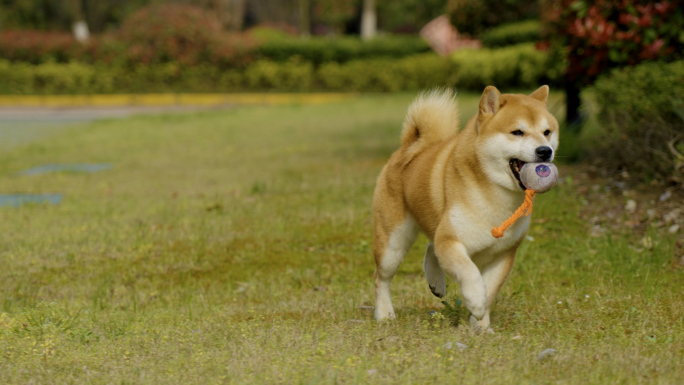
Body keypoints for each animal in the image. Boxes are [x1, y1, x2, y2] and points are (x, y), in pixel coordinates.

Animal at [372, 85, 560, 332]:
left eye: (547, 132)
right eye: (517, 132)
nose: (545, 151)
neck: (496, 196)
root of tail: (408, 147)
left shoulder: (503, 254)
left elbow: (490, 289)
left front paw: (481, 326)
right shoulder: (451, 241)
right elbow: (470, 273)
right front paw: (476, 302)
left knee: (431, 246)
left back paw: (436, 281)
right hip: (393, 242)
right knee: (382, 278)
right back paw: (384, 313)